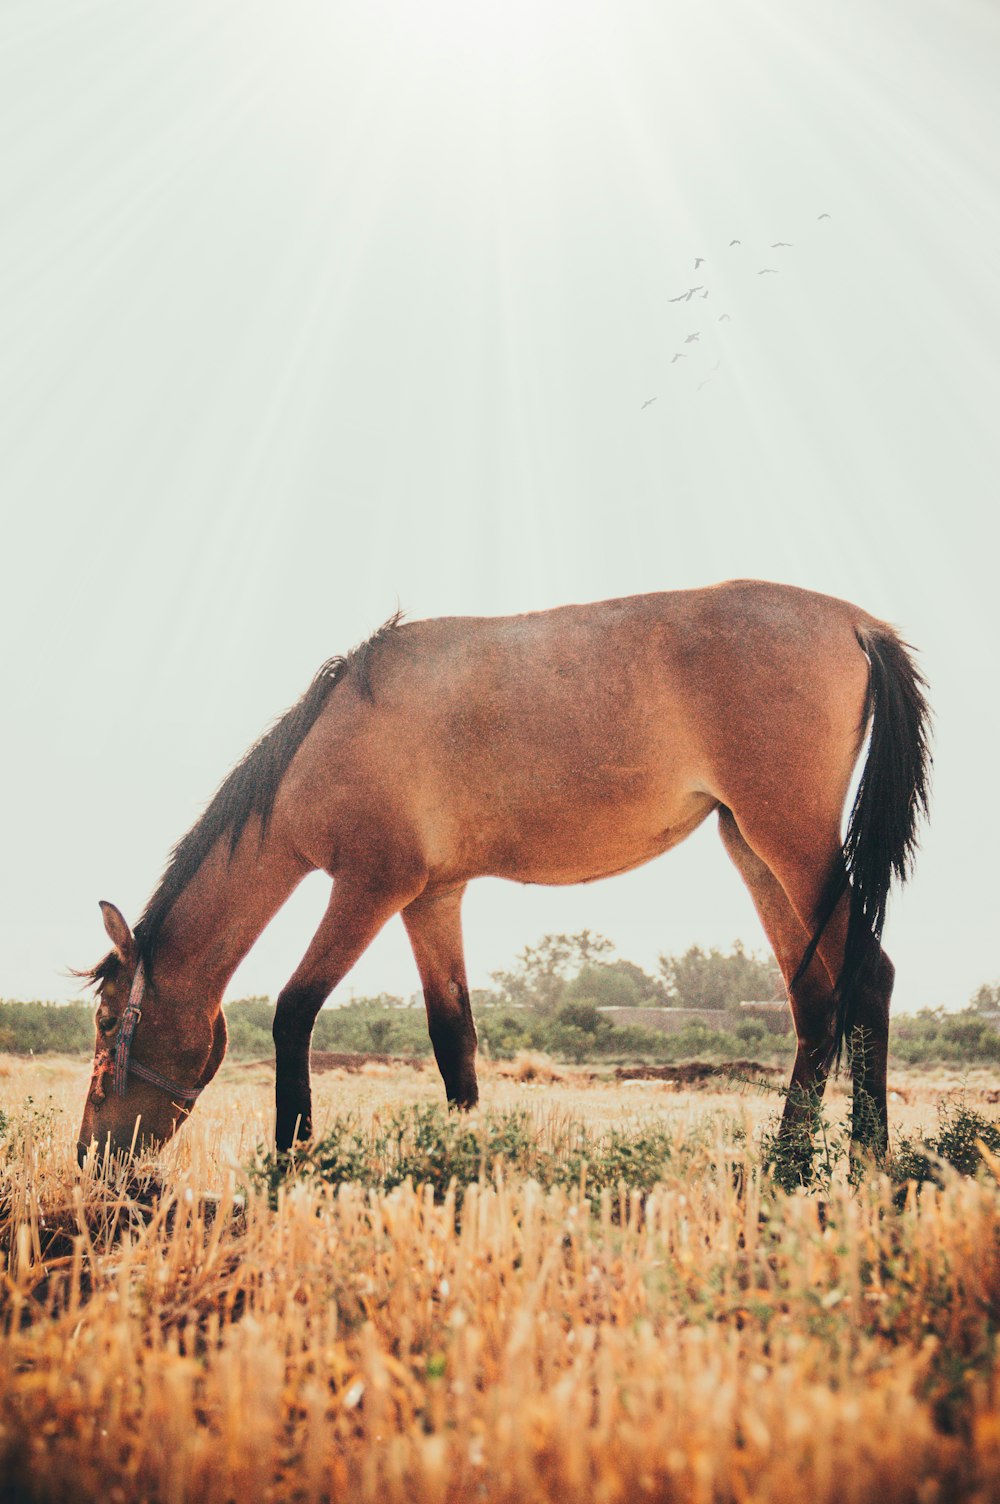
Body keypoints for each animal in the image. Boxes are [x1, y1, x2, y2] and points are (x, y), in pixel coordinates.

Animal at [75, 580, 926, 1155]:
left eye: (110, 1018)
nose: (90, 1153)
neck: (331, 738)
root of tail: (857, 624)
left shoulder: (369, 888)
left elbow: (294, 1011)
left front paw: (290, 1159)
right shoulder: (431, 899)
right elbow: (453, 1037)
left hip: (794, 844)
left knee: (870, 980)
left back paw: (865, 1164)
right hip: (753, 851)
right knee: (814, 1003)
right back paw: (787, 1168)